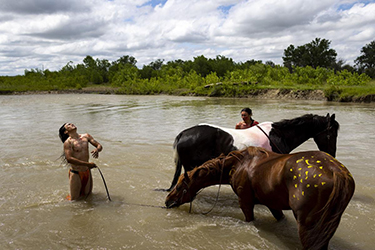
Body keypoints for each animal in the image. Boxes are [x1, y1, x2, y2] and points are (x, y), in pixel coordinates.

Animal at [167, 147, 356, 249]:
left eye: (180, 186)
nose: (168, 200)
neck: (237, 164)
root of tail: (337, 172)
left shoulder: (245, 202)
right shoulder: (273, 205)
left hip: (308, 223)